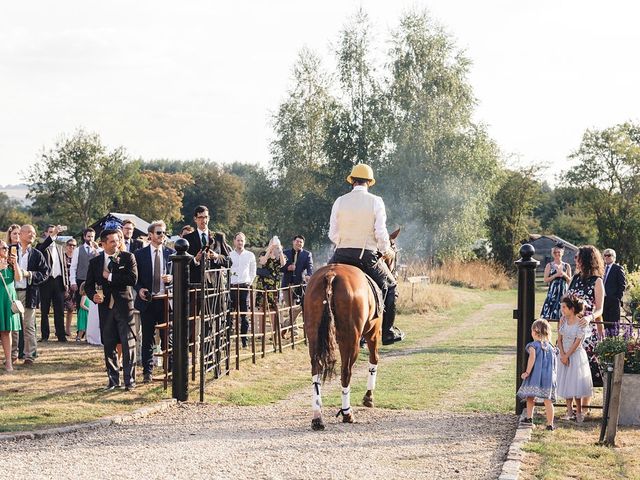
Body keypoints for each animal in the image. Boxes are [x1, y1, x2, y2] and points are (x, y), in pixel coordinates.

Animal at [302, 229, 398, 432]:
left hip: (314, 336)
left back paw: (317, 418)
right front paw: (368, 398)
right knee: (346, 372)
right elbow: (374, 360)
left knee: (316, 370)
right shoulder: (373, 334)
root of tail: (331, 275)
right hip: (351, 339)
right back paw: (347, 413)